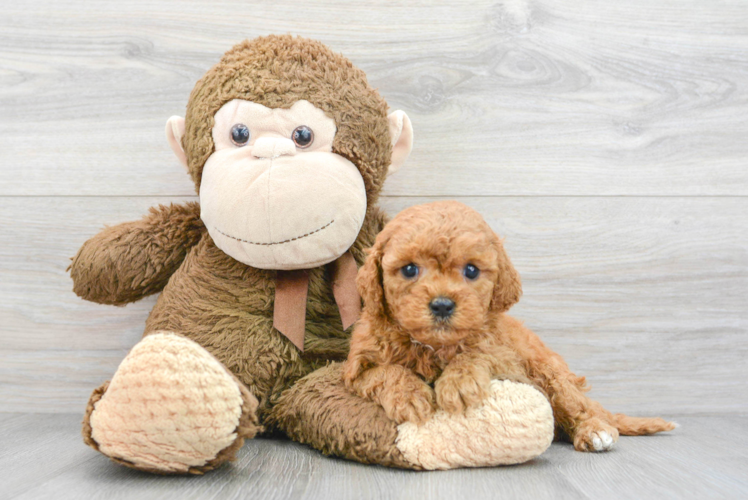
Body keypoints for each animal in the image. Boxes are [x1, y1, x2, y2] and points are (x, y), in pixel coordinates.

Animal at [344, 200, 676, 454]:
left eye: (471, 270)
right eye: (410, 269)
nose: (442, 305)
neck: (432, 346)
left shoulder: (508, 358)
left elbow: (477, 354)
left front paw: (458, 382)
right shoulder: (356, 369)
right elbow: (385, 372)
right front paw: (409, 395)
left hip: (551, 373)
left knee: (578, 406)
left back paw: (594, 431)